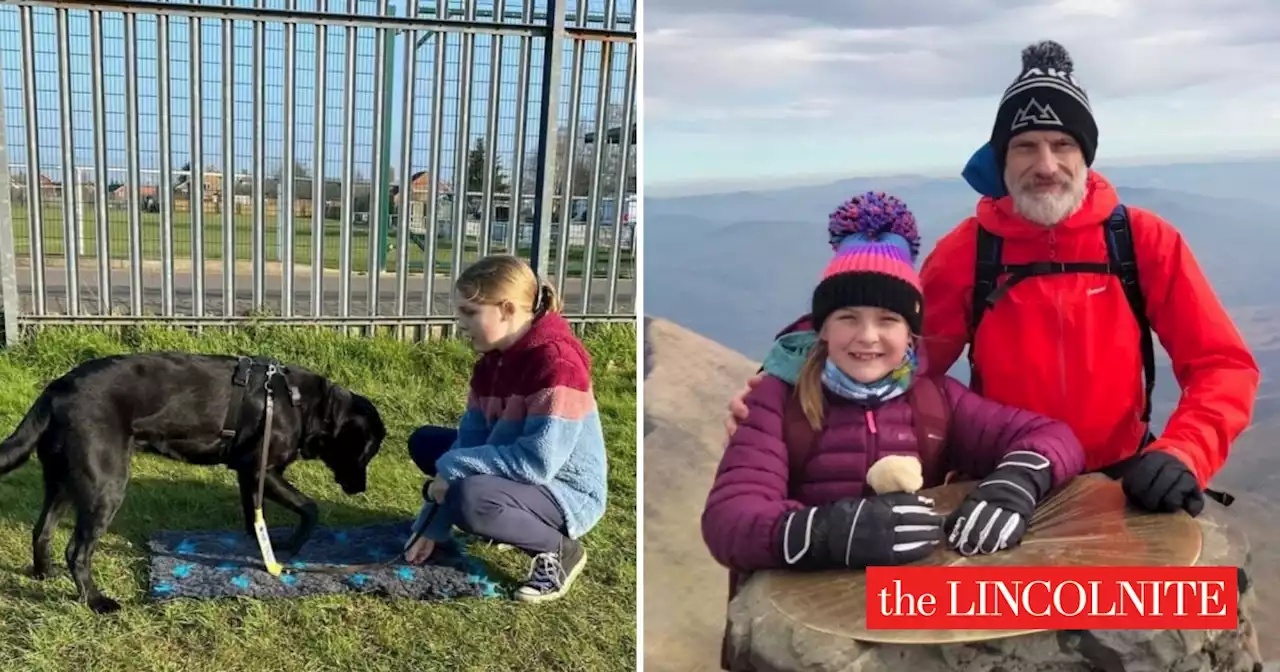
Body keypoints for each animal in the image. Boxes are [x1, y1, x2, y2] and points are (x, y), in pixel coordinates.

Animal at [0, 350, 384, 611]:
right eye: (368, 452)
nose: (362, 488)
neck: (301, 403)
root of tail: (56, 390)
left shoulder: (248, 475)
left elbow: (254, 519)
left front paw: (259, 551)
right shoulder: (261, 471)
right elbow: (310, 508)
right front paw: (291, 546)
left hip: (63, 481)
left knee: (42, 530)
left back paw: (43, 574)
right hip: (104, 485)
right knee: (77, 551)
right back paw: (96, 602)